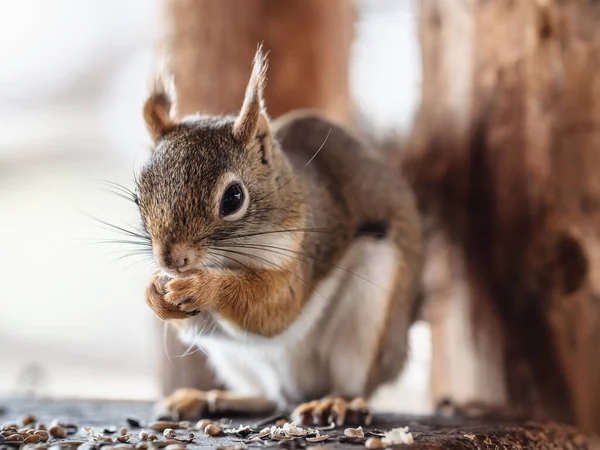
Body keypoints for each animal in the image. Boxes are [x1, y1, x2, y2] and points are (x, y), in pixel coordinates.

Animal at [138, 49, 424, 426]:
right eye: (138, 196)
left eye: (233, 198)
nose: (171, 259)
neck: (229, 259)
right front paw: (154, 292)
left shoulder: (299, 251)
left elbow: (274, 308)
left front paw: (204, 287)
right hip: (234, 360)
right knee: (267, 396)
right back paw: (210, 398)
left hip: (370, 308)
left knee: (352, 383)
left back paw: (335, 402)